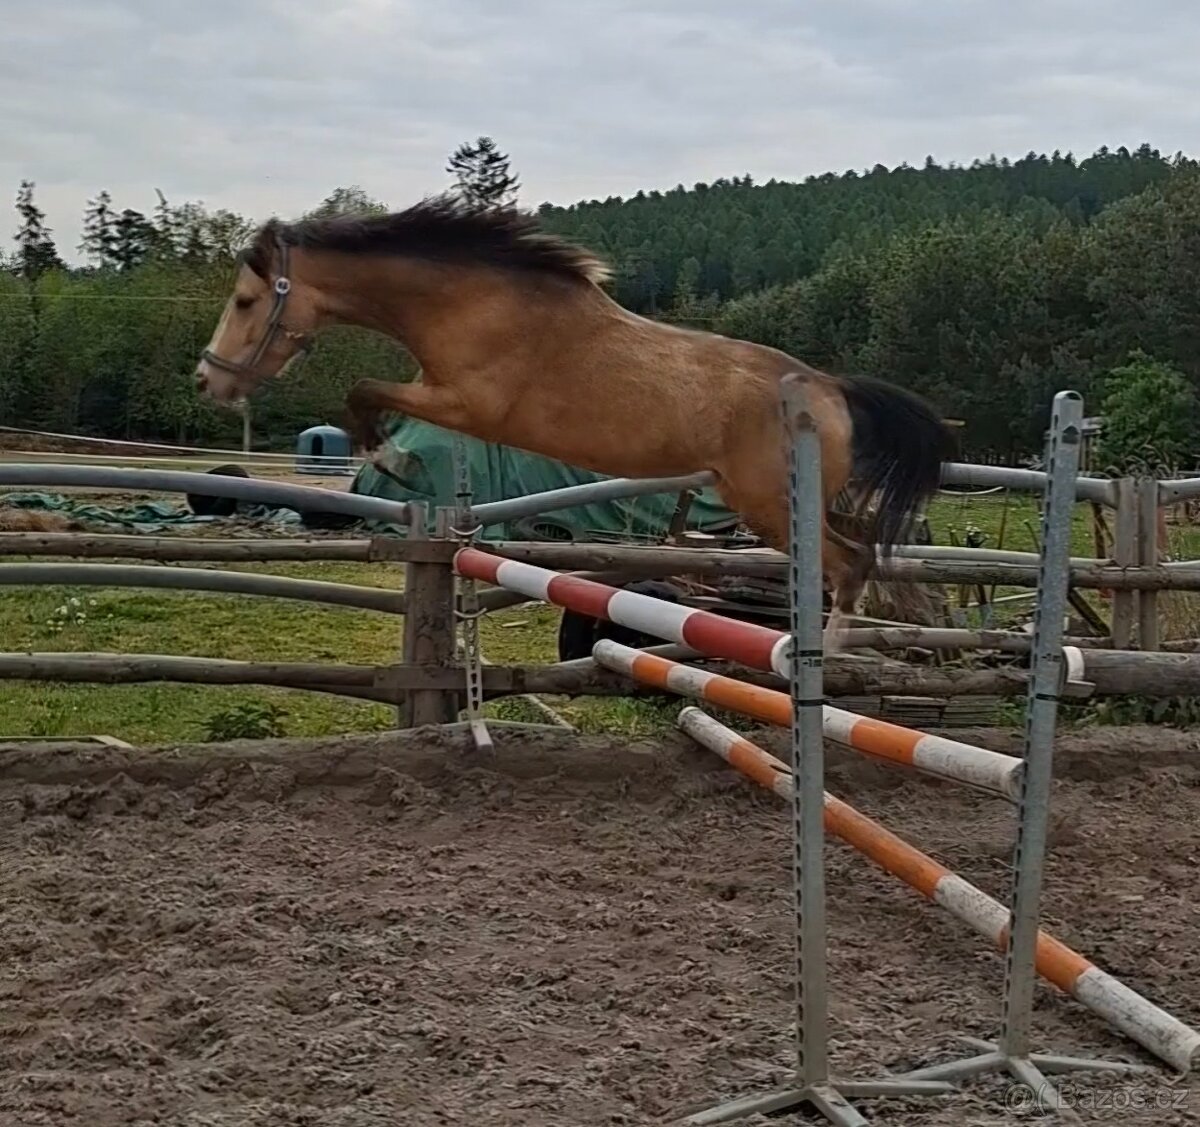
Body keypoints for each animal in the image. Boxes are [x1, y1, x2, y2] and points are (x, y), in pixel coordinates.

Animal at [194, 196, 958, 648]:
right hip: (803, 498)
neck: (470, 301)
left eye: (244, 301)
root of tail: (830, 388)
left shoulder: (465, 403)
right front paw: (392, 460)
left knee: (849, 561)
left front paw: (394, 462)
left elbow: (363, 393)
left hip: (769, 501)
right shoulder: (445, 397)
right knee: (866, 546)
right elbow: (368, 397)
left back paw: (818, 653)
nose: (209, 381)